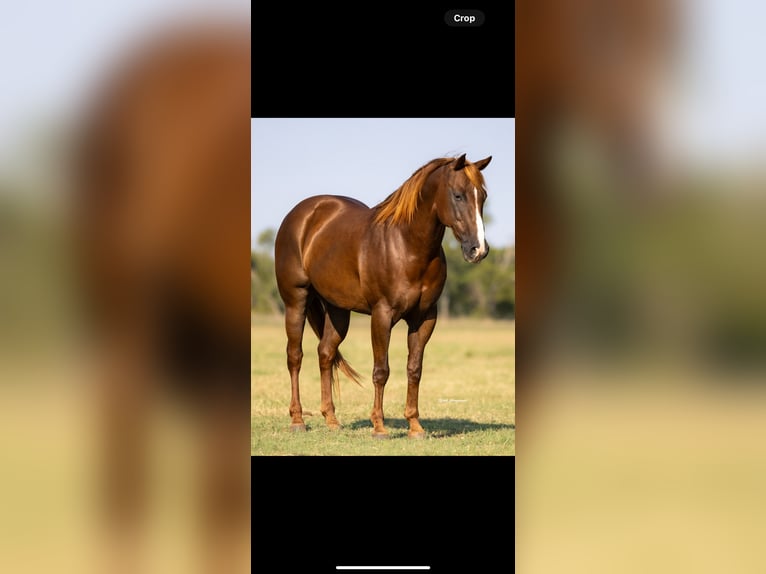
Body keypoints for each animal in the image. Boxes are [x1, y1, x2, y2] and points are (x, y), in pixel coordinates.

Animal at [274, 154, 492, 438]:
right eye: (458, 195)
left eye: (483, 196)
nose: (479, 250)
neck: (407, 246)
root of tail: (301, 214)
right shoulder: (382, 314)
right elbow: (381, 370)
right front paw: (379, 427)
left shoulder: (425, 318)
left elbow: (414, 369)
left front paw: (415, 426)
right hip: (295, 302)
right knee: (295, 357)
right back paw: (298, 420)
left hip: (337, 310)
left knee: (326, 353)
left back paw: (331, 420)